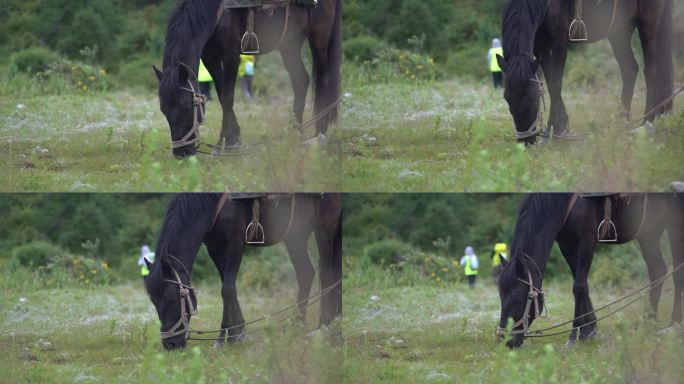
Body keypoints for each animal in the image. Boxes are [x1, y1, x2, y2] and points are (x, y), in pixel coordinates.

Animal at [144, 194, 342, 350]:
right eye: (154, 301)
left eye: (173, 298)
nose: (170, 344)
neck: (215, 203)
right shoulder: (215, 248)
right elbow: (230, 288)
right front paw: (237, 333)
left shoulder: (235, 243)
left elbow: (227, 289)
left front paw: (224, 337)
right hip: (295, 237)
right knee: (305, 274)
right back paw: (297, 324)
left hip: (324, 230)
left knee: (326, 273)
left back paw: (323, 325)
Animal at [152, 0, 340, 158]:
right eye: (163, 110)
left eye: (186, 106)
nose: (181, 153)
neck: (218, 9)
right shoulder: (210, 58)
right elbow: (221, 94)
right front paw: (235, 138)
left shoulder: (231, 55)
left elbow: (227, 97)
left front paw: (225, 142)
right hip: (289, 45)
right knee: (301, 80)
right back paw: (294, 132)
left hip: (319, 39)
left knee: (322, 82)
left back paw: (319, 132)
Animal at [496, 0, 672, 143]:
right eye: (507, 98)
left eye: (533, 97)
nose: (525, 140)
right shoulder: (541, 48)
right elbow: (550, 84)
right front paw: (560, 127)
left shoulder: (559, 42)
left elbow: (555, 85)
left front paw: (554, 128)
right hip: (618, 33)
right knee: (630, 69)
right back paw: (623, 120)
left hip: (648, 26)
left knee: (651, 70)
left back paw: (647, 120)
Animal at [496, 195, 684, 348]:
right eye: (501, 297)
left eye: (519, 298)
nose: (505, 340)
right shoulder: (567, 245)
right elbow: (582, 285)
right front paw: (590, 329)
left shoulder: (586, 240)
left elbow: (578, 287)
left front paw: (575, 335)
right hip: (649, 233)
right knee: (657, 270)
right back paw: (648, 321)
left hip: (674, 226)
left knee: (676, 274)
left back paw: (674, 323)